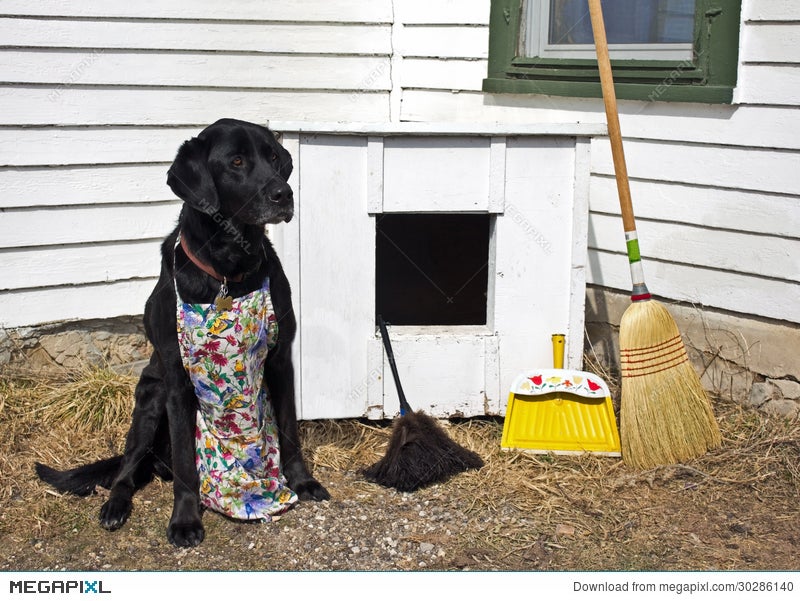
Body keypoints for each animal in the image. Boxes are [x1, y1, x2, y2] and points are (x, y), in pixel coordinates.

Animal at [36, 118, 330, 548]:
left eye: (274, 157)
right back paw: (115, 506)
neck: (228, 268)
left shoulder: (280, 361)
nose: (284, 193)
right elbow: (187, 463)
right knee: (127, 469)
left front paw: (303, 482)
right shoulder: (176, 381)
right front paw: (185, 520)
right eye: (237, 161)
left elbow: (290, 430)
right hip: (150, 398)